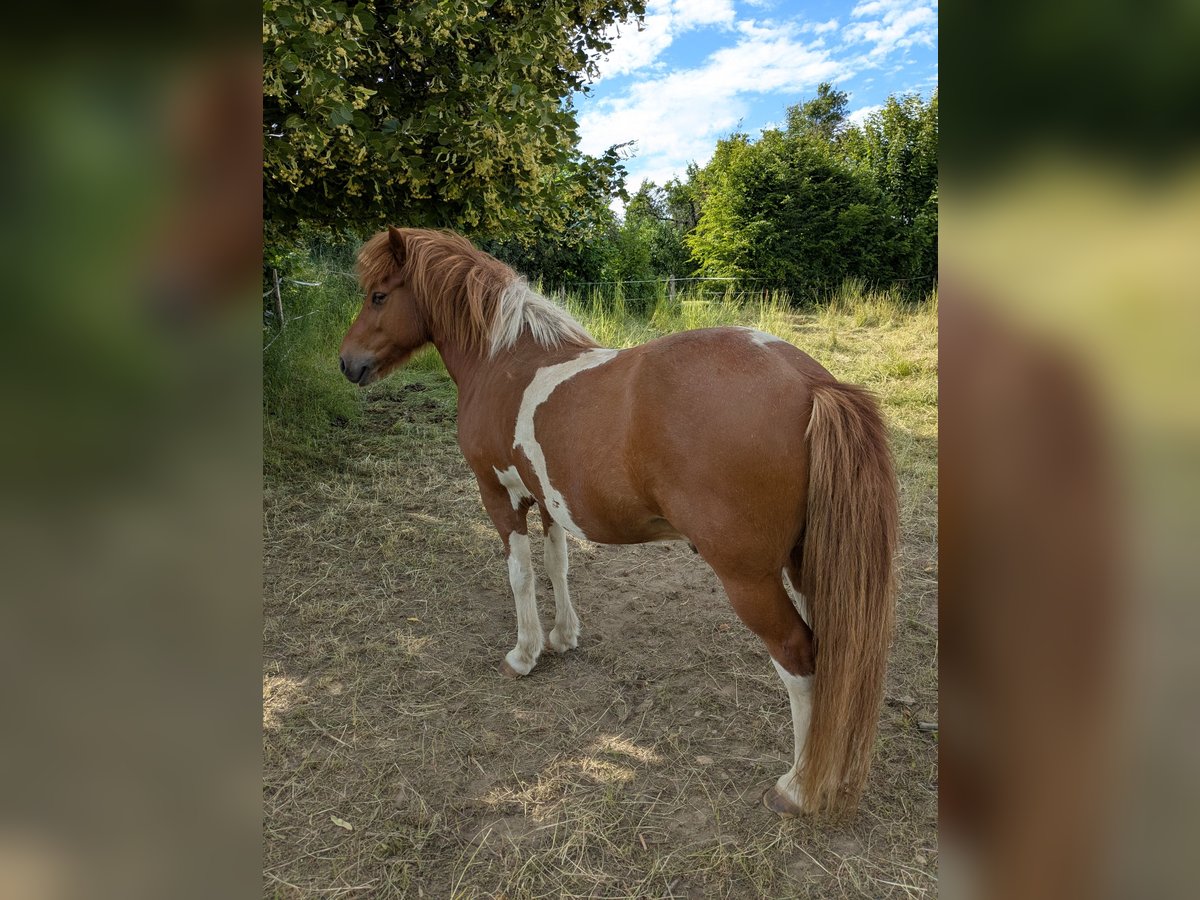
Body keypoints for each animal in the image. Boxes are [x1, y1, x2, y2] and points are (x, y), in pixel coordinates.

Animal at [339, 227, 898, 816]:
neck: (505, 362)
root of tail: (809, 382)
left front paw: (523, 654)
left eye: (379, 295)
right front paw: (563, 636)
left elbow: (520, 575)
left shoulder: (499, 496)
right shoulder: (548, 498)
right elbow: (558, 564)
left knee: (799, 656)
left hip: (750, 579)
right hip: (806, 562)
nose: (347, 362)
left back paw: (797, 787)